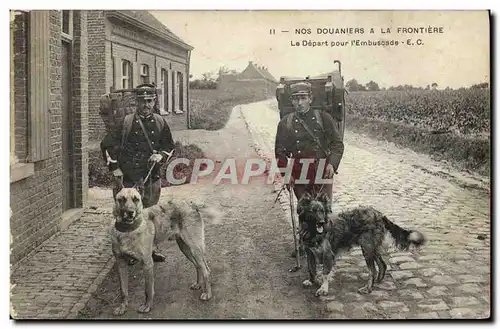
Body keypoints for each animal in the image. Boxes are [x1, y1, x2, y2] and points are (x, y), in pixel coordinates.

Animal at [109, 179, 219, 316]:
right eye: (122, 199)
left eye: (136, 199)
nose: (130, 212)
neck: (128, 230)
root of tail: (191, 204)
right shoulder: (121, 264)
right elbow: (123, 290)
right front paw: (122, 307)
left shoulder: (147, 264)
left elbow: (148, 289)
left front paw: (147, 306)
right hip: (185, 249)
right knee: (198, 266)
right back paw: (198, 284)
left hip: (194, 249)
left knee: (206, 270)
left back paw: (207, 293)